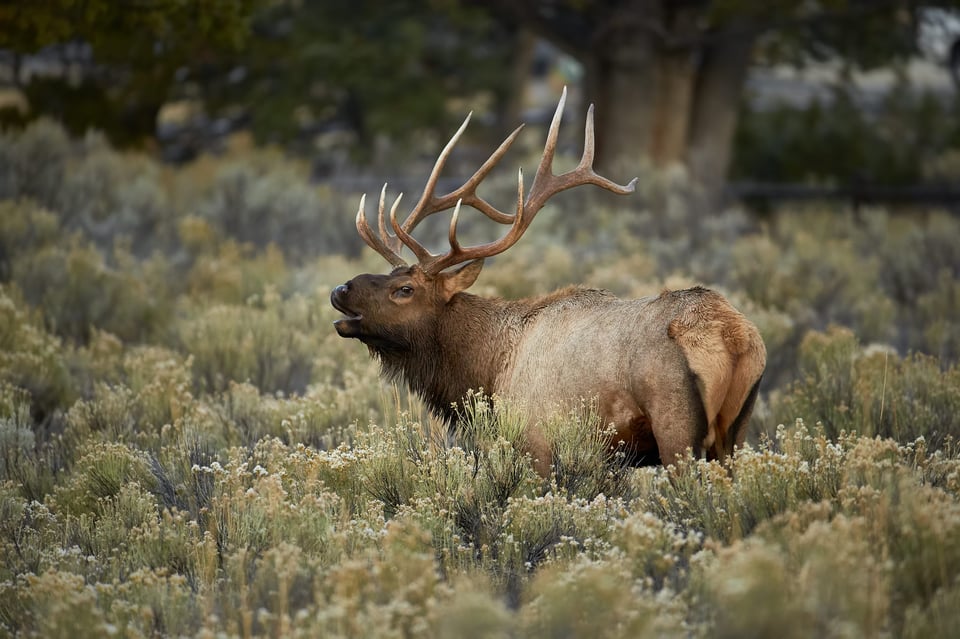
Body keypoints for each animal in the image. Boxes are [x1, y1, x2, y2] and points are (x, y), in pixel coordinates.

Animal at [330, 87, 764, 472]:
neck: (489, 369)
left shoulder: (533, 439)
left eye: (405, 289)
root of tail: (732, 335)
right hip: (735, 433)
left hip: (677, 427)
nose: (340, 289)